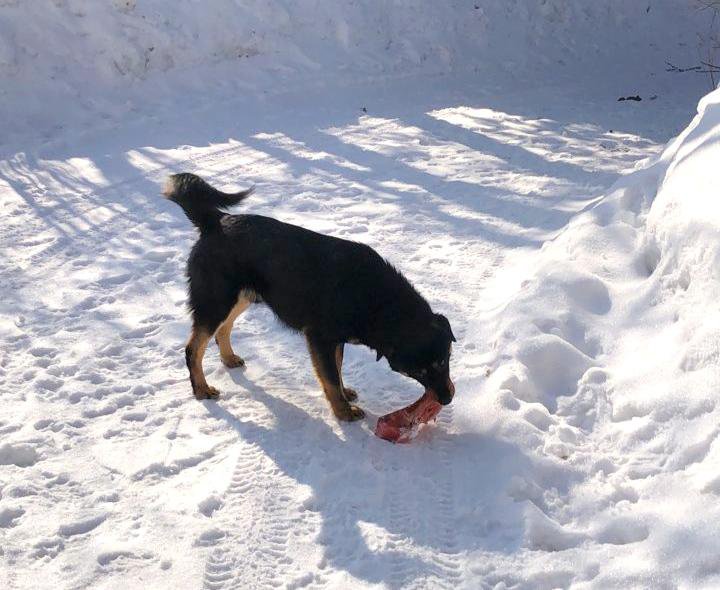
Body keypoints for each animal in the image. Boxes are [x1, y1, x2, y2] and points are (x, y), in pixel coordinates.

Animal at [163, 173, 456, 424]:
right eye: (417, 372)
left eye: (444, 360)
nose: (447, 400)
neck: (377, 300)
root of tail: (216, 221)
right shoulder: (319, 338)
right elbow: (330, 378)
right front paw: (343, 412)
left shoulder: (334, 340)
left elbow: (336, 371)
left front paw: (345, 395)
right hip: (216, 301)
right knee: (193, 348)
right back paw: (201, 389)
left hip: (241, 297)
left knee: (223, 329)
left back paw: (228, 359)